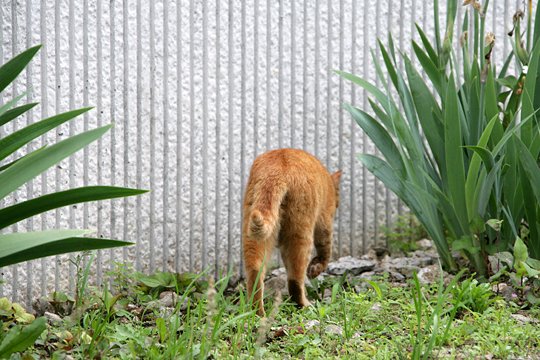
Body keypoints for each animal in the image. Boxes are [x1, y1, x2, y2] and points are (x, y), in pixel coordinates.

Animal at [242, 148, 340, 316]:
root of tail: (278, 168)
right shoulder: (324, 220)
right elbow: (325, 250)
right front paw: (316, 269)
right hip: (300, 230)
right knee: (295, 278)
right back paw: (304, 304)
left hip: (253, 232)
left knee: (255, 272)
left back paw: (257, 313)